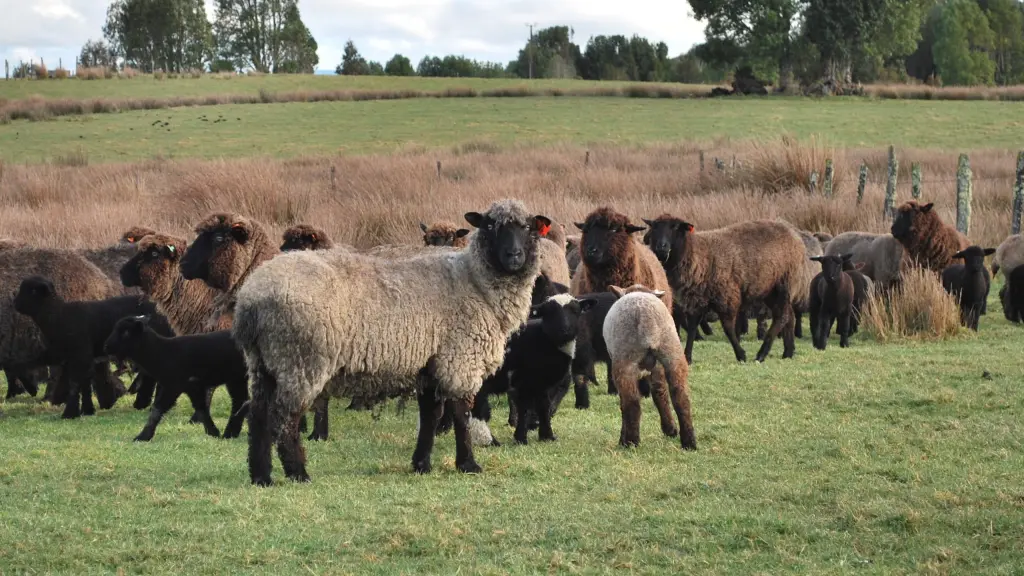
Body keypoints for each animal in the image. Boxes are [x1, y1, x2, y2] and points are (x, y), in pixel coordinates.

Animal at [101, 315, 249, 440]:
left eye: (126, 333)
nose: (106, 346)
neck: (162, 352)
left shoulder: (174, 385)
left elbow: (157, 409)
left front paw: (143, 436)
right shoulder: (192, 387)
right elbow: (201, 409)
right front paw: (213, 432)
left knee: (241, 400)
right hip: (236, 378)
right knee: (240, 400)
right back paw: (231, 433)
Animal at [233, 199, 552, 481]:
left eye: (527, 227)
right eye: (489, 226)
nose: (514, 256)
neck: (475, 281)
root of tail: (250, 300)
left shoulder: (429, 365)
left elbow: (431, 417)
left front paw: (421, 463)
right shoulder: (459, 360)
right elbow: (462, 416)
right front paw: (468, 464)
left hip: (264, 363)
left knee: (258, 416)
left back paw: (261, 475)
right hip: (299, 359)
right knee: (284, 419)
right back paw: (298, 472)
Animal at [598, 284, 696, 450]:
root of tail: (647, 318)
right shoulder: (657, 367)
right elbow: (659, 392)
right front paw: (670, 429)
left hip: (625, 359)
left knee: (631, 403)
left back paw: (630, 442)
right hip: (673, 353)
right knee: (681, 398)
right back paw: (689, 442)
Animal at [643, 215, 811, 362]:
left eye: (676, 227)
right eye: (655, 227)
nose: (661, 247)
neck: (699, 255)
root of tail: (794, 235)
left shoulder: (726, 295)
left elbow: (728, 328)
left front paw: (741, 354)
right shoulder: (697, 298)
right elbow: (692, 328)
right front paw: (687, 357)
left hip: (784, 283)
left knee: (782, 316)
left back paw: (762, 353)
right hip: (770, 290)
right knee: (789, 316)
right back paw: (788, 352)